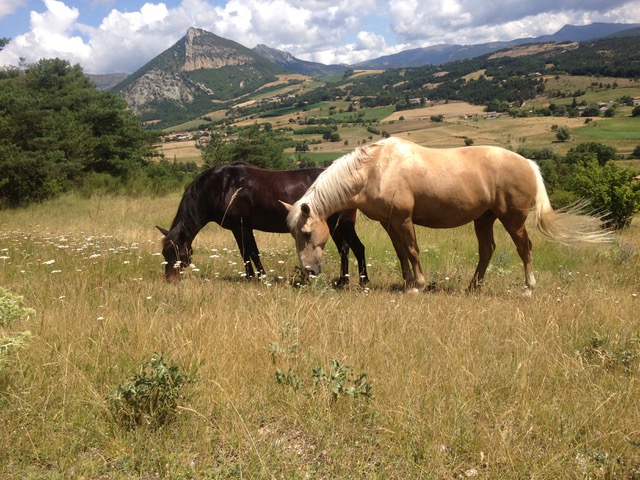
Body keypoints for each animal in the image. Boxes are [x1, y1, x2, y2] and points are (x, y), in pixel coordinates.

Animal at [157, 163, 370, 286]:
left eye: (179, 253)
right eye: (165, 254)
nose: (170, 280)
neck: (220, 185)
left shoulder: (241, 226)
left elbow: (250, 251)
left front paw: (258, 278)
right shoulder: (240, 228)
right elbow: (247, 252)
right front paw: (252, 277)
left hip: (342, 225)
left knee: (354, 248)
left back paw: (360, 282)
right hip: (336, 227)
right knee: (347, 249)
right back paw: (346, 281)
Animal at [284, 137, 608, 290]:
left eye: (307, 233)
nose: (309, 272)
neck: (375, 168)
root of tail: (528, 162)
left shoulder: (403, 219)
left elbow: (412, 250)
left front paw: (418, 285)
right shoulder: (390, 223)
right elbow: (401, 252)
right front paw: (406, 283)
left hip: (513, 219)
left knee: (524, 248)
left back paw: (528, 287)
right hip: (484, 219)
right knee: (487, 249)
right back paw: (473, 287)